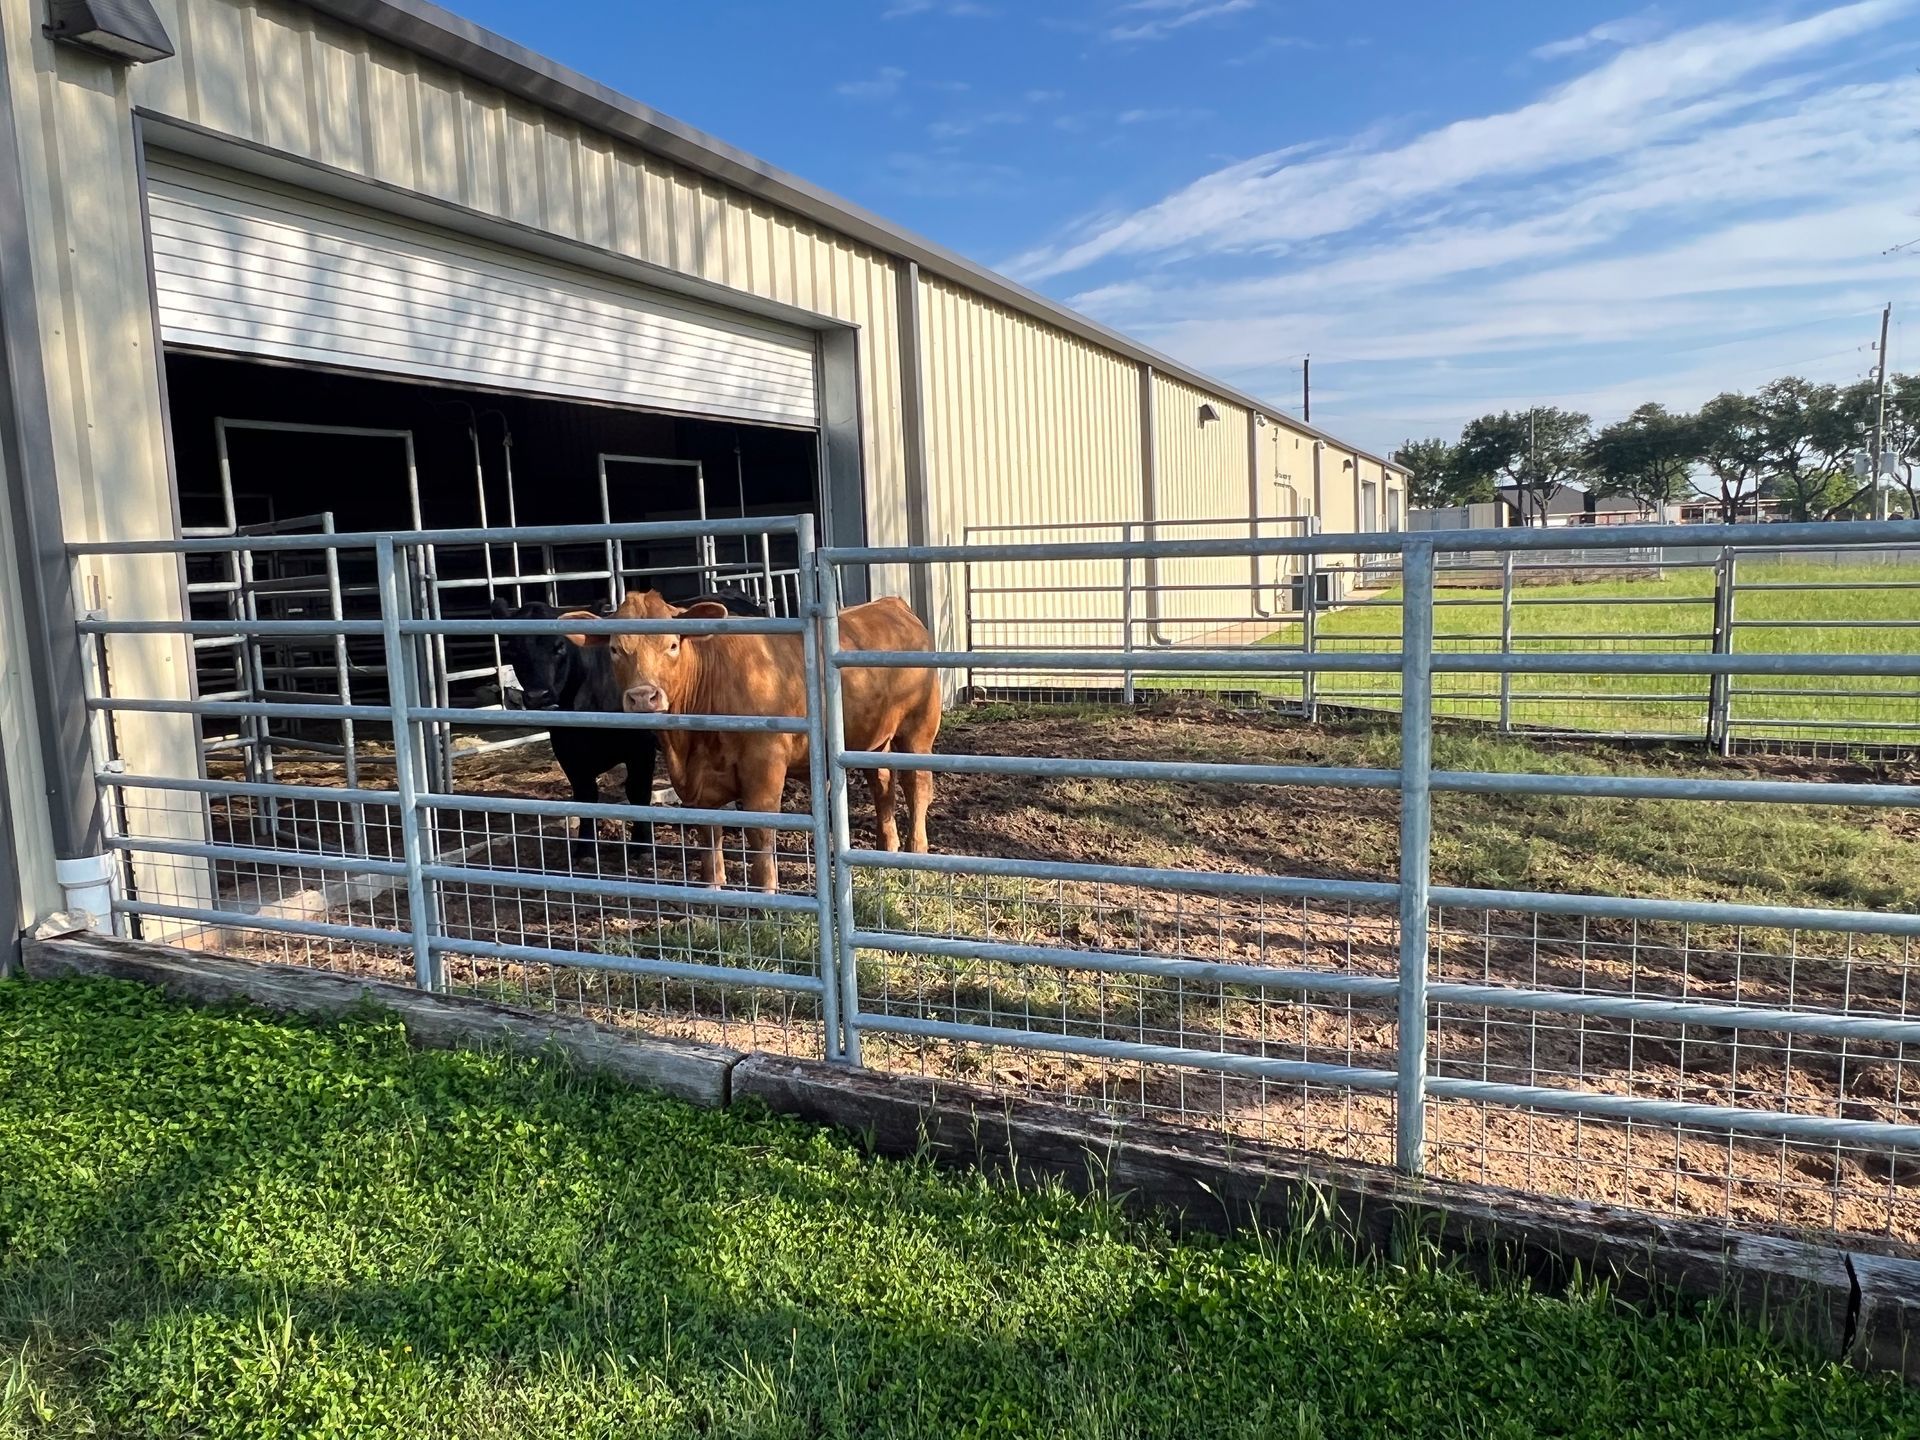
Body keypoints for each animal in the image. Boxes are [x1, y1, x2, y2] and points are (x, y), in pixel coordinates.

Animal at [491, 590, 765, 864]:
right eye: (512, 648)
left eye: (560, 646)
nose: (538, 696)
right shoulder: (567, 750)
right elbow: (585, 796)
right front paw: (585, 850)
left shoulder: (640, 748)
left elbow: (637, 791)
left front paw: (641, 845)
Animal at [574, 589, 939, 891]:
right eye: (615, 648)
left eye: (673, 645)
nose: (643, 696)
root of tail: (892, 604)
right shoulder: (694, 783)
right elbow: (708, 832)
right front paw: (713, 889)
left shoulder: (764, 764)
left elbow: (760, 831)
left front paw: (767, 894)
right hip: (873, 740)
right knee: (883, 784)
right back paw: (886, 848)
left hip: (919, 728)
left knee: (917, 784)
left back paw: (916, 851)